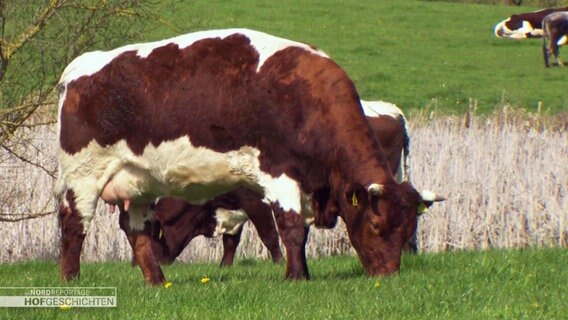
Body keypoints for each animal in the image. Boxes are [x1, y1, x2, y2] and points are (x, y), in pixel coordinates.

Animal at [56, 28, 440, 284]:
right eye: (375, 225)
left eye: (409, 227)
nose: (388, 275)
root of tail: (84, 65)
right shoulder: (276, 175)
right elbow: (288, 229)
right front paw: (296, 277)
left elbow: (292, 231)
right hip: (83, 175)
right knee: (74, 222)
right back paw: (71, 278)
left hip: (138, 182)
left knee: (136, 229)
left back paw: (157, 281)